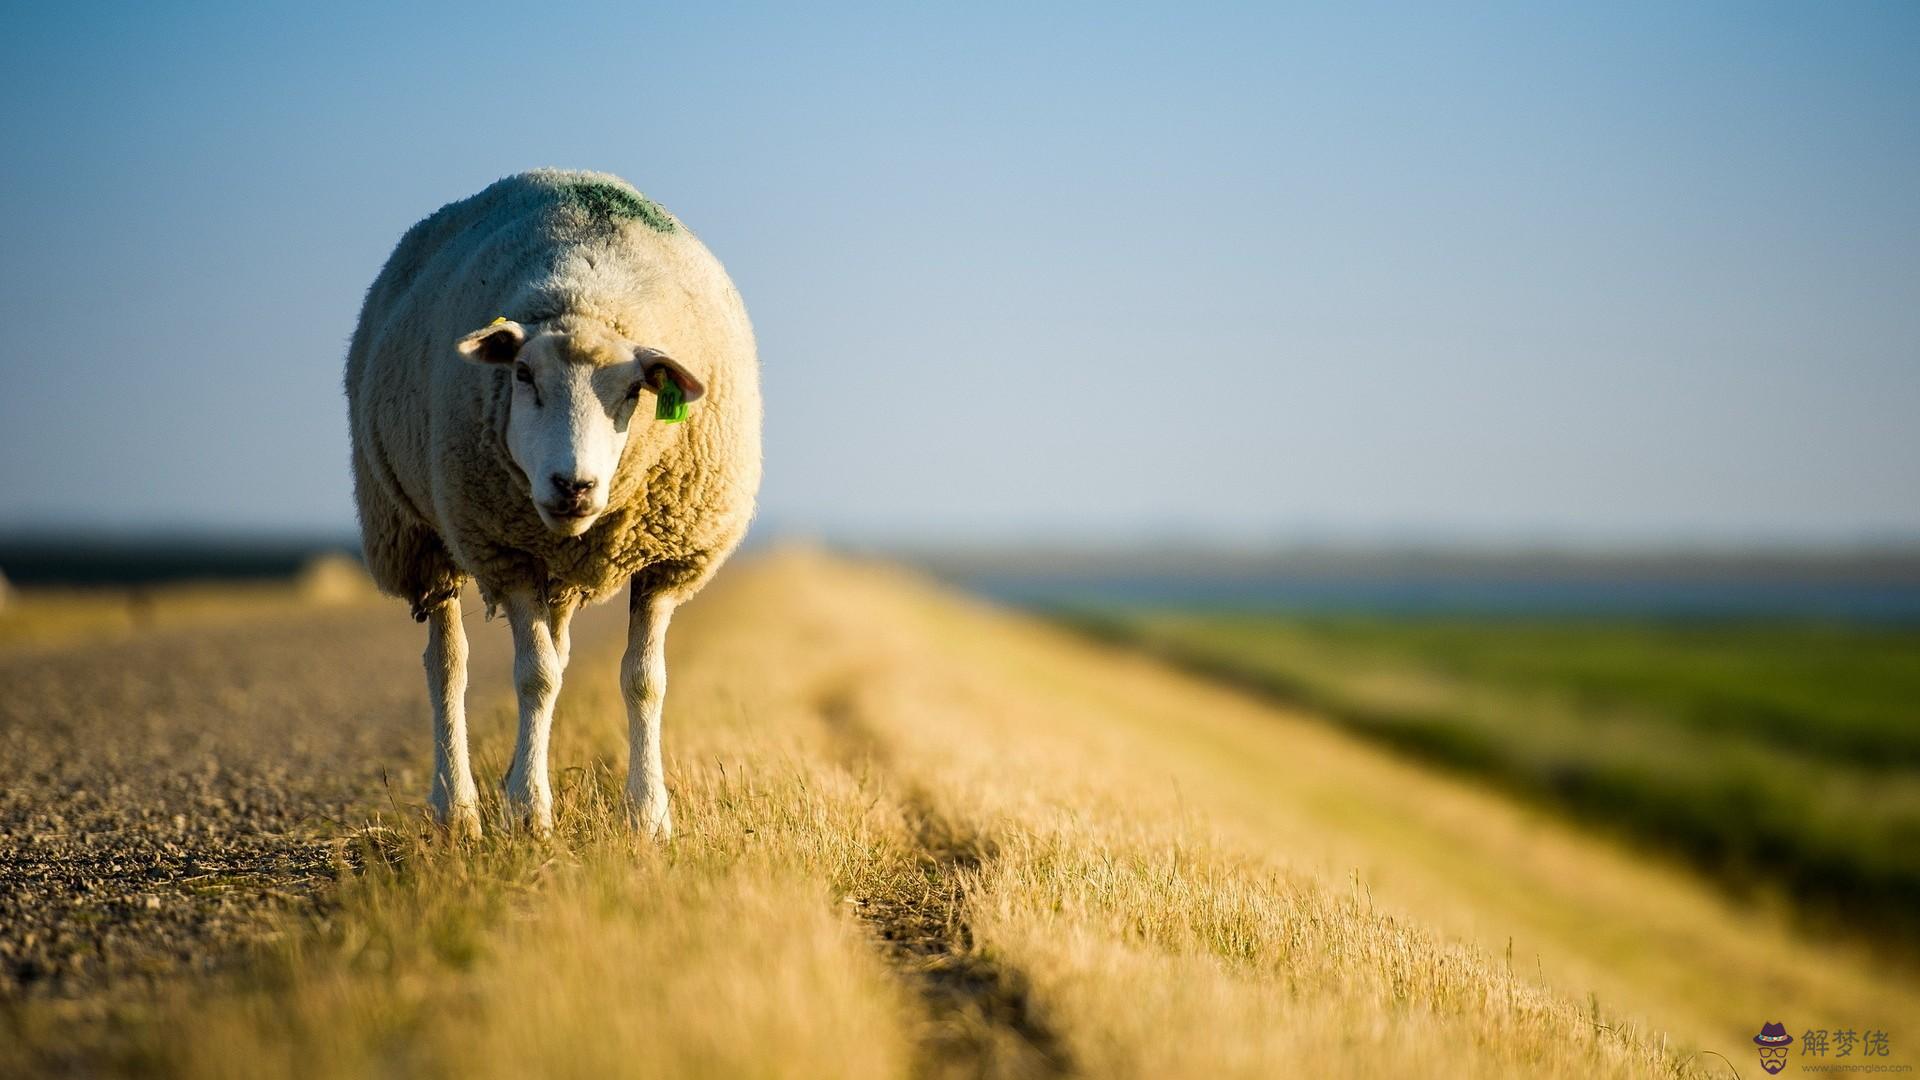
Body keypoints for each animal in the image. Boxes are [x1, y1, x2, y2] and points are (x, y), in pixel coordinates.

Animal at [345, 170, 764, 841]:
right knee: (448, 665)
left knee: (555, 653)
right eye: (521, 374)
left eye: (635, 389)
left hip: (552, 568)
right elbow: (533, 677)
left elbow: (644, 681)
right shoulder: (506, 549)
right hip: (421, 532)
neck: (586, 297)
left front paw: (647, 816)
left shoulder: (664, 560)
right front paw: (528, 812)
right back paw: (457, 807)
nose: (574, 486)